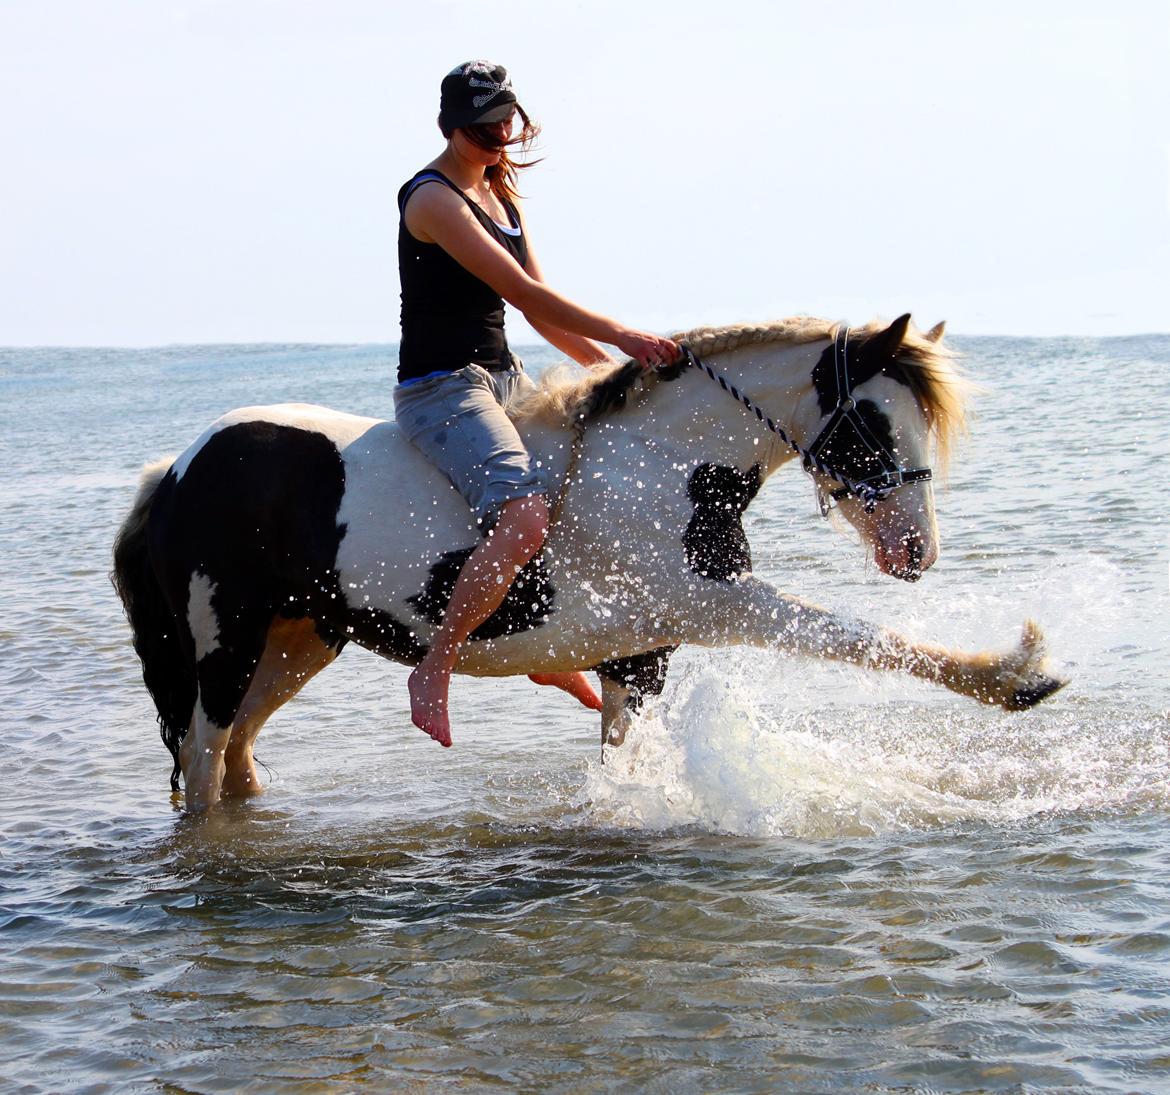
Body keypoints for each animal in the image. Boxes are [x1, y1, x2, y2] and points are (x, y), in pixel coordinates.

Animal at [111, 311, 1071, 809]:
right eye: (873, 420)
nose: (918, 550)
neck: (664, 466)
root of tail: (176, 470)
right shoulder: (720, 605)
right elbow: (857, 636)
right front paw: (1017, 672)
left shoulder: (640, 654)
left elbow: (621, 756)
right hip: (225, 649)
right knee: (204, 764)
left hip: (300, 641)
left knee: (235, 757)